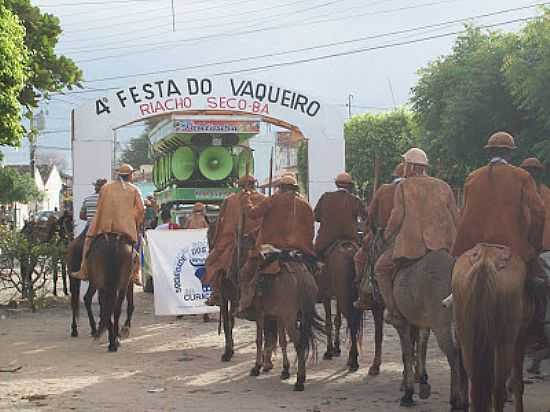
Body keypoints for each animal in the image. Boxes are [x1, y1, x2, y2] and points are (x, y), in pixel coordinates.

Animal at [250, 253, 324, 392]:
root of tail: (301, 277)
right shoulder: (279, 316)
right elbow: (282, 341)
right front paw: (285, 370)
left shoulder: (260, 313)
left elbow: (259, 340)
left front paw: (257, 367)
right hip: (301, 316)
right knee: (302, 342)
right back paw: (301, 376)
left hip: (290, 320)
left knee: (299, 343)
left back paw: (299, 381)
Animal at [394, 248, 468, 408]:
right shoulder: (422, 322)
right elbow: (421, 346)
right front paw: (422, 383)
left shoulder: (403, 322)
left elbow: (407, 352)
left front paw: (408, 394)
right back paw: (464, 402)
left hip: (442, 325)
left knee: (453, 356)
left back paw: (456, 402)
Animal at [452, 245, 536, 412]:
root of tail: (485, 259)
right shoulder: (520, 336)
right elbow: (517, 382)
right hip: (504, 342)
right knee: (498, 390)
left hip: (467, 341)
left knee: (476, 386)